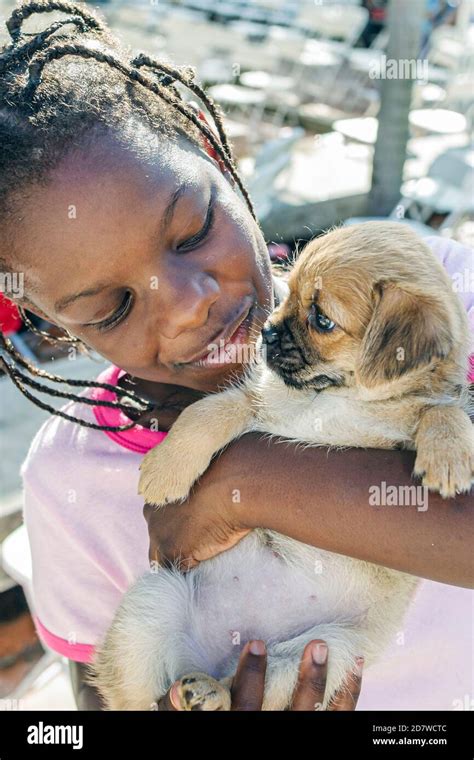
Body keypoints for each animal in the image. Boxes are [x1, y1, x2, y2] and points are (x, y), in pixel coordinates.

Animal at [90, 221, 472, 712]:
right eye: (286, 296)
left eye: (322, 319)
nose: (266, 333)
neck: (335, 398)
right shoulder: (260, 404)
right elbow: (208, 412)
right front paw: (167, 468)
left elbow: (443, 411)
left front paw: (449, 456)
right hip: (152, 603)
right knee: (140, 696)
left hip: (323, 653)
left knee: (249, 685)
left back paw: (211, 691)